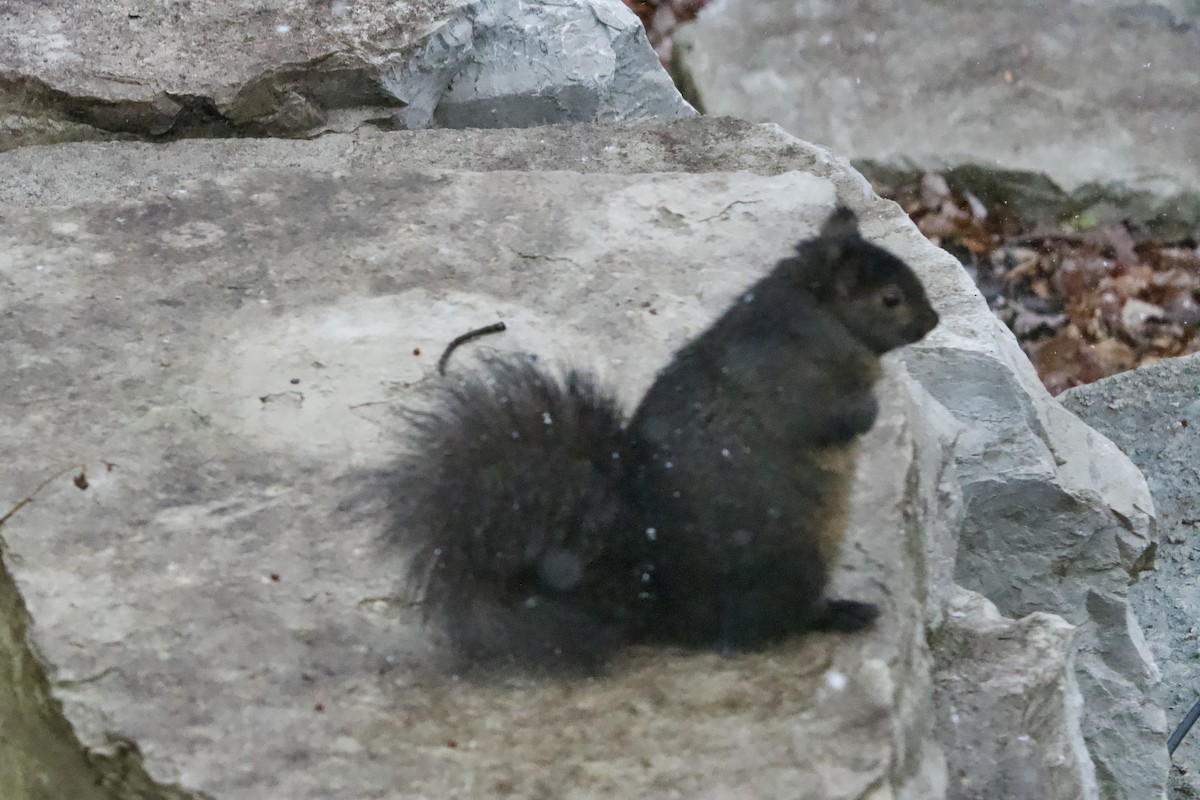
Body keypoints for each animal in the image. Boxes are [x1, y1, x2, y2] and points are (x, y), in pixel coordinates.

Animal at [390, 207, 939, 672]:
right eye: (890, 299)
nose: (933, 321)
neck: (817, 312)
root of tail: (654, 602)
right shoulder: (801, 380)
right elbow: (838, 417)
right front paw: (871, 411)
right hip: (796, 561)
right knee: (774, 622)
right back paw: (841, 613)